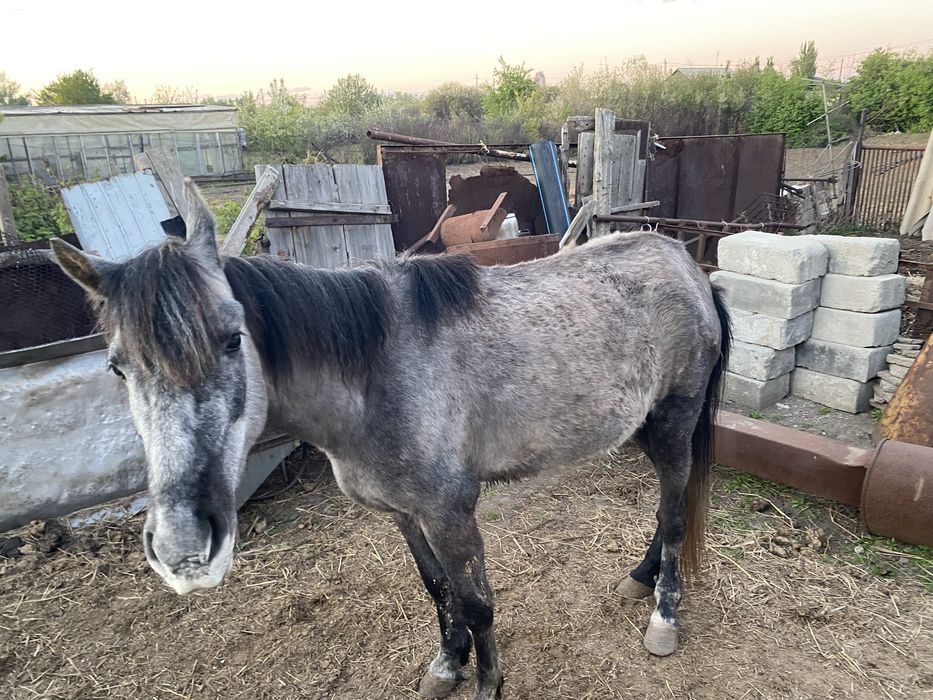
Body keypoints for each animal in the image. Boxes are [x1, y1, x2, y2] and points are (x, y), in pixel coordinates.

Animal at [51, 179, 730, 700]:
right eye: (117, 367)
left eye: (232, 338)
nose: (185, 546)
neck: (377, 376)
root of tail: (688, 266)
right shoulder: (404, 514)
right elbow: (438, 589)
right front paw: (447, 666)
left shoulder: (451, 511)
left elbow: (477, 601)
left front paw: (487, 684)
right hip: (642, 427)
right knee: (665, 507)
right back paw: (638, 577)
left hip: (674, 423)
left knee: (674, 515)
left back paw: (663, 615)